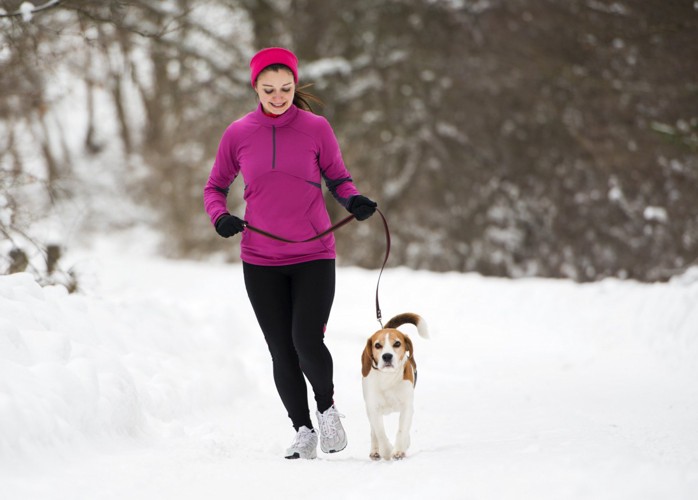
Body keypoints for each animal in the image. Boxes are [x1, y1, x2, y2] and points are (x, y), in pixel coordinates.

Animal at [362, 312, 426, 460]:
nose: (387, 356)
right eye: (377, 345)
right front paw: (387, 451)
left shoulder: (407, 407)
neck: (388, 378)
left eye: (397, 343)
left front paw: (399, 450)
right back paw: (375, 450)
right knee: (374, 432)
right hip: (368, 408)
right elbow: (380, 433)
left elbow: (402, 430)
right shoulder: (374, 408)